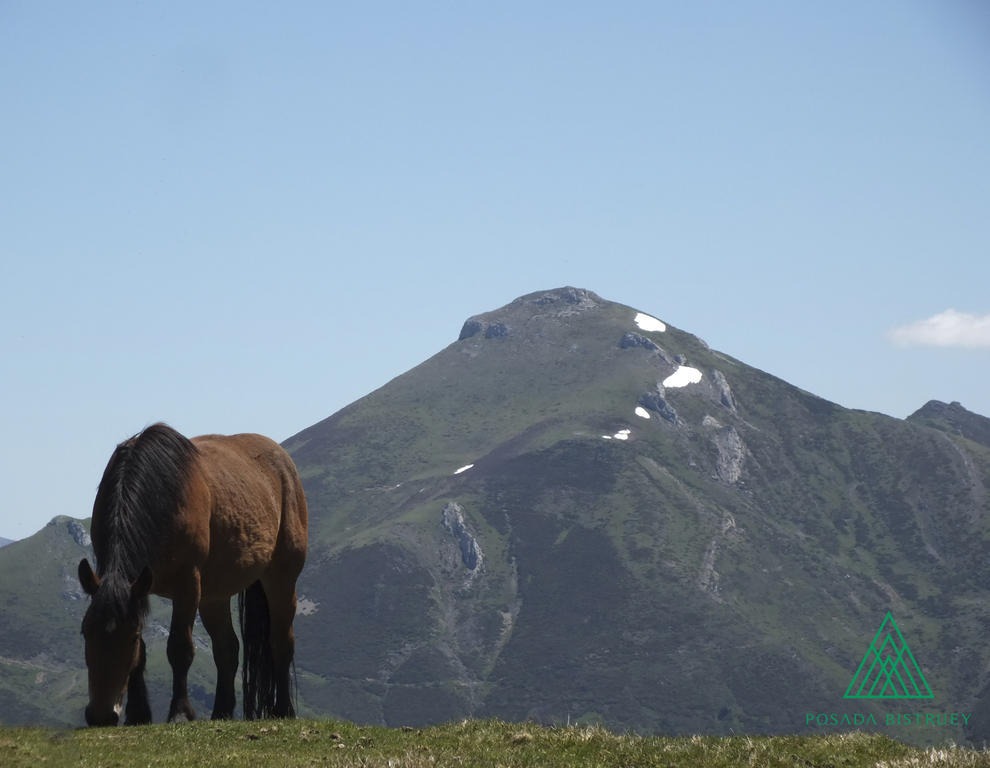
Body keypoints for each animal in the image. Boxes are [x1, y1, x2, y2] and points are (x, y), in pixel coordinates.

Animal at [77, 424, 308, 728]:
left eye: (130, 636)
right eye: (85, 631)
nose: (102, 715)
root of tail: (284, 462)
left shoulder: (187, 584)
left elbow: (179, 648)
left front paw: (180, 713)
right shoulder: (141, 587)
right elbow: (144, 654)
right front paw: (138, 715)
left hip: (280, 579)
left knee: (281, 642)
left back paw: (284, 710)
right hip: (214, 595)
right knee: (227, 649)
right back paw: (221, 711)